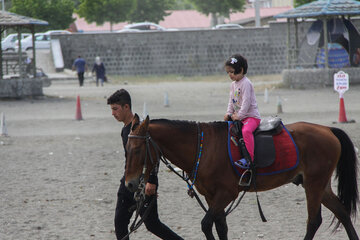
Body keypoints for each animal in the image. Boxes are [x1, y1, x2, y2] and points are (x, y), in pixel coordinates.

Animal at [124, 115, 358, 240]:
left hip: (314, 185)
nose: (130, 183)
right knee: (342, 213)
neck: (203, 148)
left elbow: (206, 224)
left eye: (137, 150)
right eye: (126, 148)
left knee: (314, 221)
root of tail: (327, 129)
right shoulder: (212, 197)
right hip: (320, 186)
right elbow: (220, 227)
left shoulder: (226, 194)